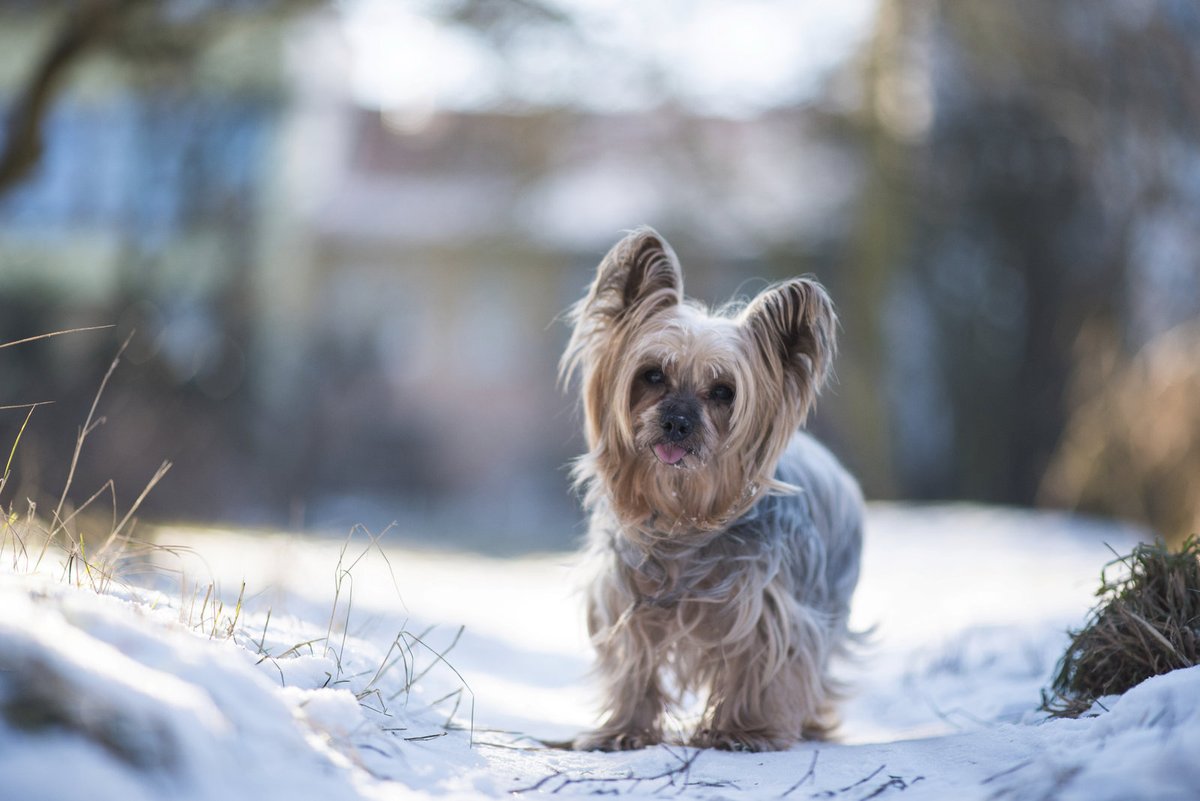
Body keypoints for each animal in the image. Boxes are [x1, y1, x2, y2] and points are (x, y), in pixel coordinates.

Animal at [561, 226, 864, 753]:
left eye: (724, 392)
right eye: (652, 374)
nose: (676, 422)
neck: (683, 514)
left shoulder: (767, 607)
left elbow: (765, 666)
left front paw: (745, 732)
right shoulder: (626, 597)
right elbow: (633, 663)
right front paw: (624, 730)